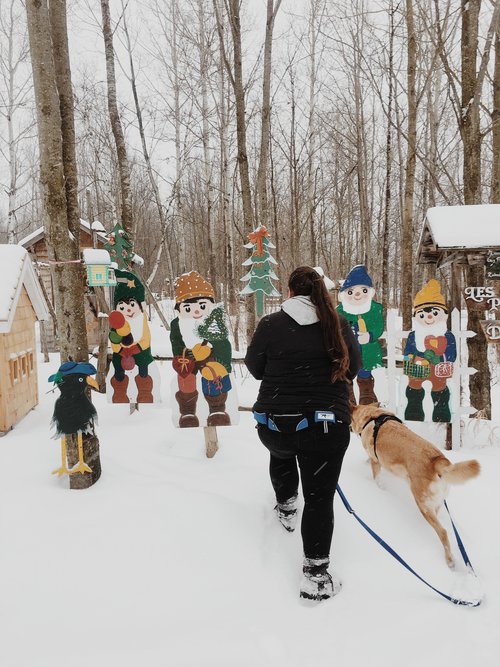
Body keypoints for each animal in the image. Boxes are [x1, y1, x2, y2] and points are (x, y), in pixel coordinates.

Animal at [350, 402, 478, 568]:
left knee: (443, 532)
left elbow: (377, 478)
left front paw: (379, 487)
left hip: (421, 502)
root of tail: (436, 460)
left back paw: (449, 560)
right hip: (435, 503)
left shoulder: (375, 461)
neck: (372, 417)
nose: (349, 427)